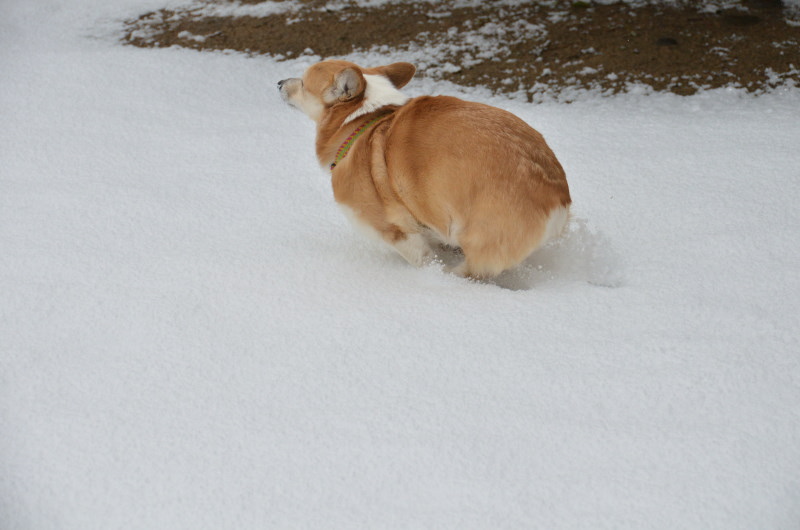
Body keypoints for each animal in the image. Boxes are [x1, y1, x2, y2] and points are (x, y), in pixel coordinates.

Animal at [280, 59, 568, 278]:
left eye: (303, 83)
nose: (279, 82)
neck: (362, 120)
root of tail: (556, 198)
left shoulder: (393, 228)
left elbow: (422, 257)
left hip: (477, 236)